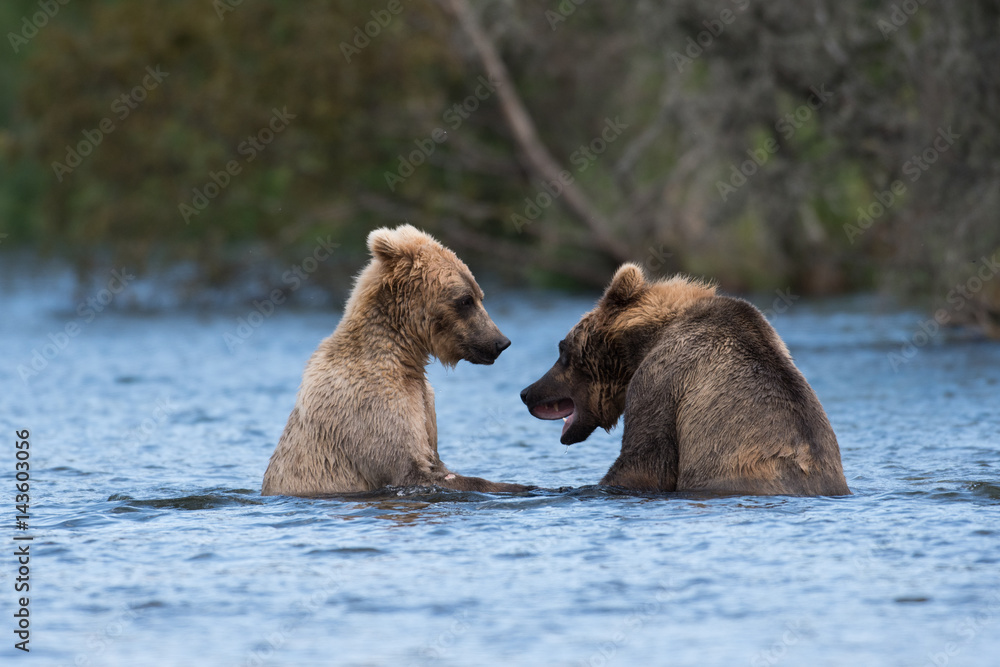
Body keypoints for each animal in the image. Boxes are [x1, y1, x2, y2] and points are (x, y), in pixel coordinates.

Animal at [262, 224, 530, 497]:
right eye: (466, 300)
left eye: (479, 295)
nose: (500, 342)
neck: (404, 354)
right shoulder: (370, 404)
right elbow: (410, 468)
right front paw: (521, 485)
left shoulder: (424, 403)